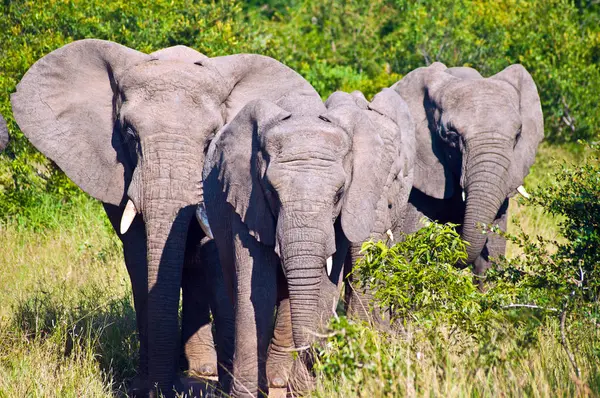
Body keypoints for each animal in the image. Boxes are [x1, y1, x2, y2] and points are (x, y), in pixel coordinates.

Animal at [9, 38, 326, 396]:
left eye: (212, 139)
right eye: (130, 134)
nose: (162, 387)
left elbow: (211, 255)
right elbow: (139, 255)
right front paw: (145, 385)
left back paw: (206, 370)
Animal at [204, 87, 414, 394]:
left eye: (339, 193)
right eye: (271, 191)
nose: (319, 352)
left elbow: (324, 289)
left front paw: (305, 390)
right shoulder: (246, 198)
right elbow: (258, 291)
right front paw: (245, 394)